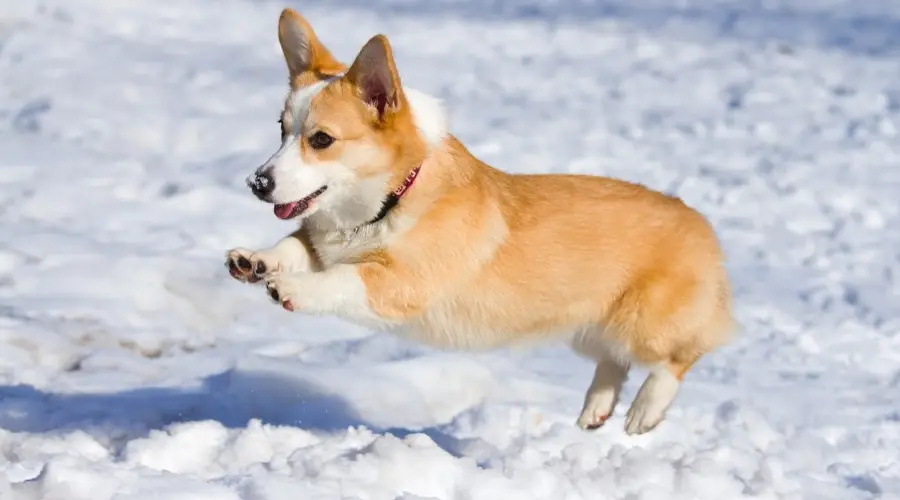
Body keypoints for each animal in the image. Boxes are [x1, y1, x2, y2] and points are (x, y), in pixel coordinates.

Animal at [223, 8, 732, 438]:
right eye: (281, 129)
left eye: (322, 139)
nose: (257, 183)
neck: (390, 199)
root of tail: (700, 222)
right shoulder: (323, 242)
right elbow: (295, 246)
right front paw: (254, 261)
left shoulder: (402, 282)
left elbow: (342, 280)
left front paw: (293, 289)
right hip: (589, 331)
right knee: (613, 362)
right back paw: (596, 409)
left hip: (643, 325)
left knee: (679, 356)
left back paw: (645, 411)